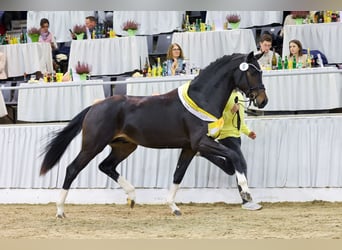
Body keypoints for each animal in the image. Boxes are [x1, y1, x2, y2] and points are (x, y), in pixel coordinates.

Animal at [40, 51, 268, 218]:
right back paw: (60, 211)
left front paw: (174, 208)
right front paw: (246, 192)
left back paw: (132, 197)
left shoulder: (189, 147)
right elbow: (234, 155)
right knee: (72, 169)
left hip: (124, 146)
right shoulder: (200, 142)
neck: (201, 99)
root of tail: (94, 107)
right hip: (93, 145)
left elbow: (178, 174)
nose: (263, 100)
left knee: (106, 166)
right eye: (252, 73)